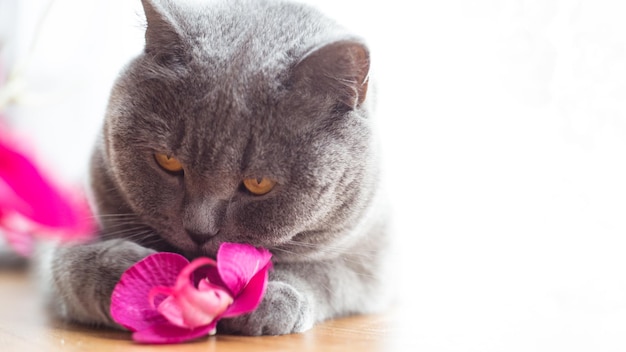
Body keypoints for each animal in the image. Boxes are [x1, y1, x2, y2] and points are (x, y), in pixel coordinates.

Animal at [46, 0, 390, 336]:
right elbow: (75, 262)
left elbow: (325, 269)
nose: (199, 230)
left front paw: (269, 295)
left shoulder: (371, 254)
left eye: (258, 183)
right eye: (168, 161)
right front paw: (146, 280)